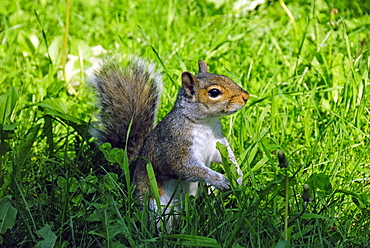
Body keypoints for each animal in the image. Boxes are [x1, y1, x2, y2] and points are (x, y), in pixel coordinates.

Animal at [88, 55, 249, 217]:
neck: (207, 124)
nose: (246, 96)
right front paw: (219, 179)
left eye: (226, 77)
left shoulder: (217, 143)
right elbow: (185, 167)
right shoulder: (175, 146)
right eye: (214, 92)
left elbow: (228, 156)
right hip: (156, 205)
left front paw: (238, 175)